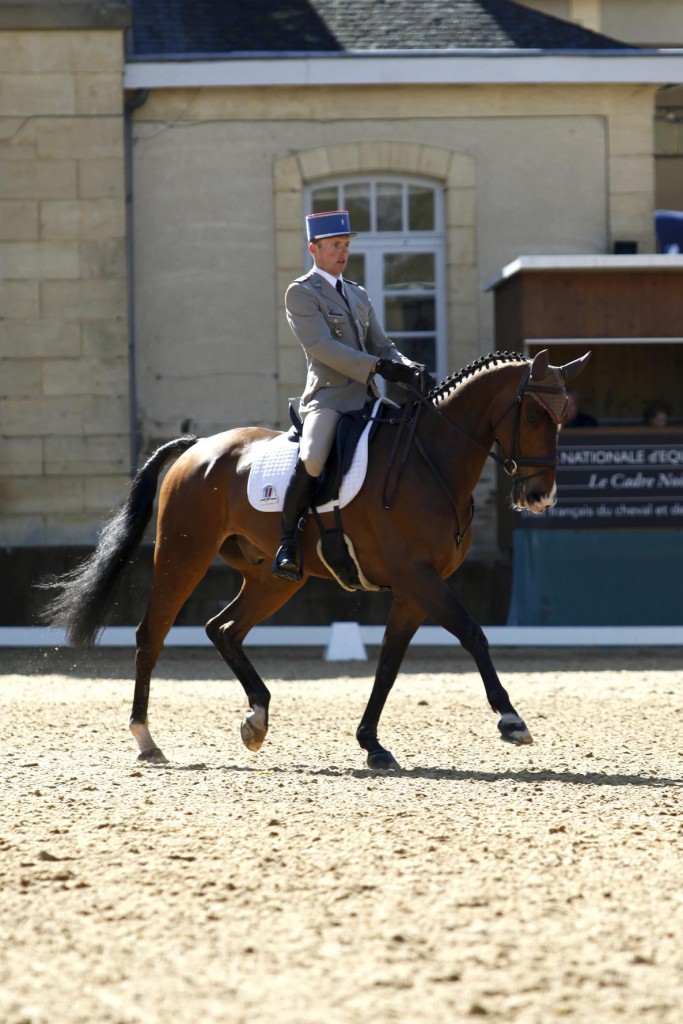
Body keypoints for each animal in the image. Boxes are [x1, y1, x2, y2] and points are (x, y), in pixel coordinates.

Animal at [40, 348, 589, 765]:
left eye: (565, 420)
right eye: (534, 415)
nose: (540, 496)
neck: (431, 461)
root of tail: (200, 447)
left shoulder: (413, 589)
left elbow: (388, 663)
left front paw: (371, 745)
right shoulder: (418, 577)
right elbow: (473, 633)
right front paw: (511, 720)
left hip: (275, 577)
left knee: (223, 629)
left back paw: (257, 718)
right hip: (183, 554)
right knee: (151, 635)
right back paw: (146, 738)